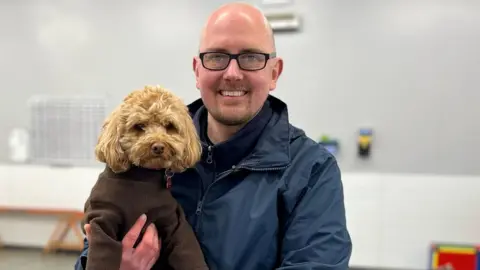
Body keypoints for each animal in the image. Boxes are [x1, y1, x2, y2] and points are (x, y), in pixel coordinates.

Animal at [83, 86, 207, 270]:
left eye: (169, 126)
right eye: (139, 126)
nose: (158, 146)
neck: (142, 176)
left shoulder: (172, 219)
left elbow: (185, 246)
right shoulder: (103, 219)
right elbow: (103, 252)